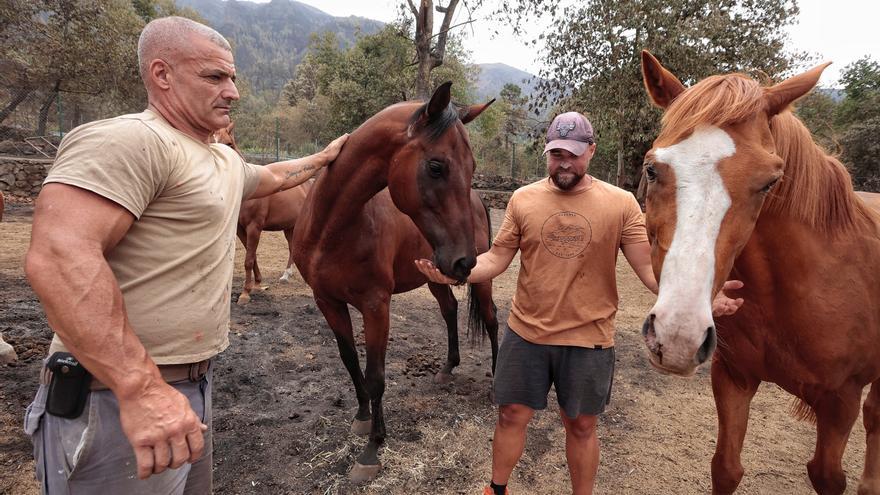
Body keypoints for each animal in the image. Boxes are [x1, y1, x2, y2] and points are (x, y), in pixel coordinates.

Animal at [211, 123, 312, 306]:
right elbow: (252, 256)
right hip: (289, 227)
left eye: (229, 144)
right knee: (291, 247)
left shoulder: (254, 227)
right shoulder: (240, 229)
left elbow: (248, 260)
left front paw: (245, 294)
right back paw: (286, 275)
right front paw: (257, 284)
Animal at [288, 83, 496, 482]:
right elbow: (350, 359)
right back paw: (447, 368)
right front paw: (362, 417)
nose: (464, 261)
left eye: (474, 167)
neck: (332, 229)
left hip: (481, 281)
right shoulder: (327, 302)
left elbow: (376, 375)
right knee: (449, 310)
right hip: (436, 277)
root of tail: (481, 201)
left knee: (492, 319)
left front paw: (372, 449)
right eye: (436, 166)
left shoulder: (376, 305)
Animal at [640, 51, 880, 495]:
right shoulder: (734, 378)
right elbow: (725, 468)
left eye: (769, 182)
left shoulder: (841, 402)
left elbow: (828, 475)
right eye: (651, 168)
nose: (677, 337)